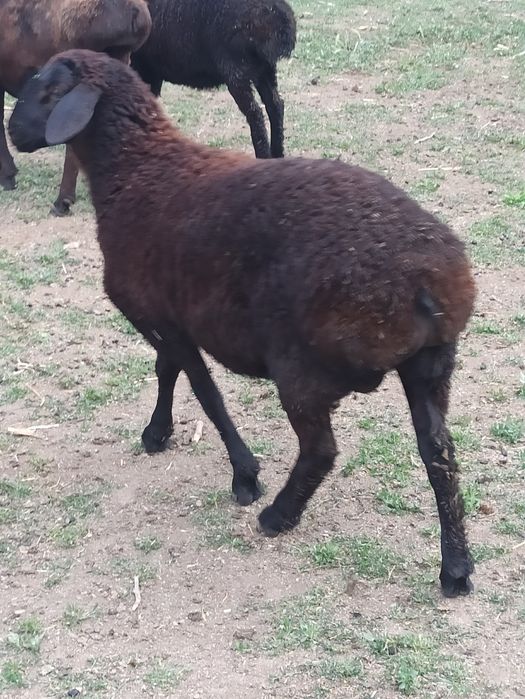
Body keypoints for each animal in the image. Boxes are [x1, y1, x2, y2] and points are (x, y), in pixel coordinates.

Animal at [9, 49, 477, 597]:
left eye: (45, 90)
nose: (13, 132)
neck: (137, 170)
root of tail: (428, 284)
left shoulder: (161, 317)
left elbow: (204, 390)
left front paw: (245, 476)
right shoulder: (170, 315)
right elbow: (168, 372)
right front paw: (158, 433)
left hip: (304, 367)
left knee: (321, 450)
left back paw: (278, 516)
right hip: (430, 366)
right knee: (439, 454)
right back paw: (456, 568)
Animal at [130, 0, 296, 159]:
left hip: (237, 71)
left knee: (255, 113)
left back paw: (264, 156)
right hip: (265, 69)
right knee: (275, 105)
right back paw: (277, 154)